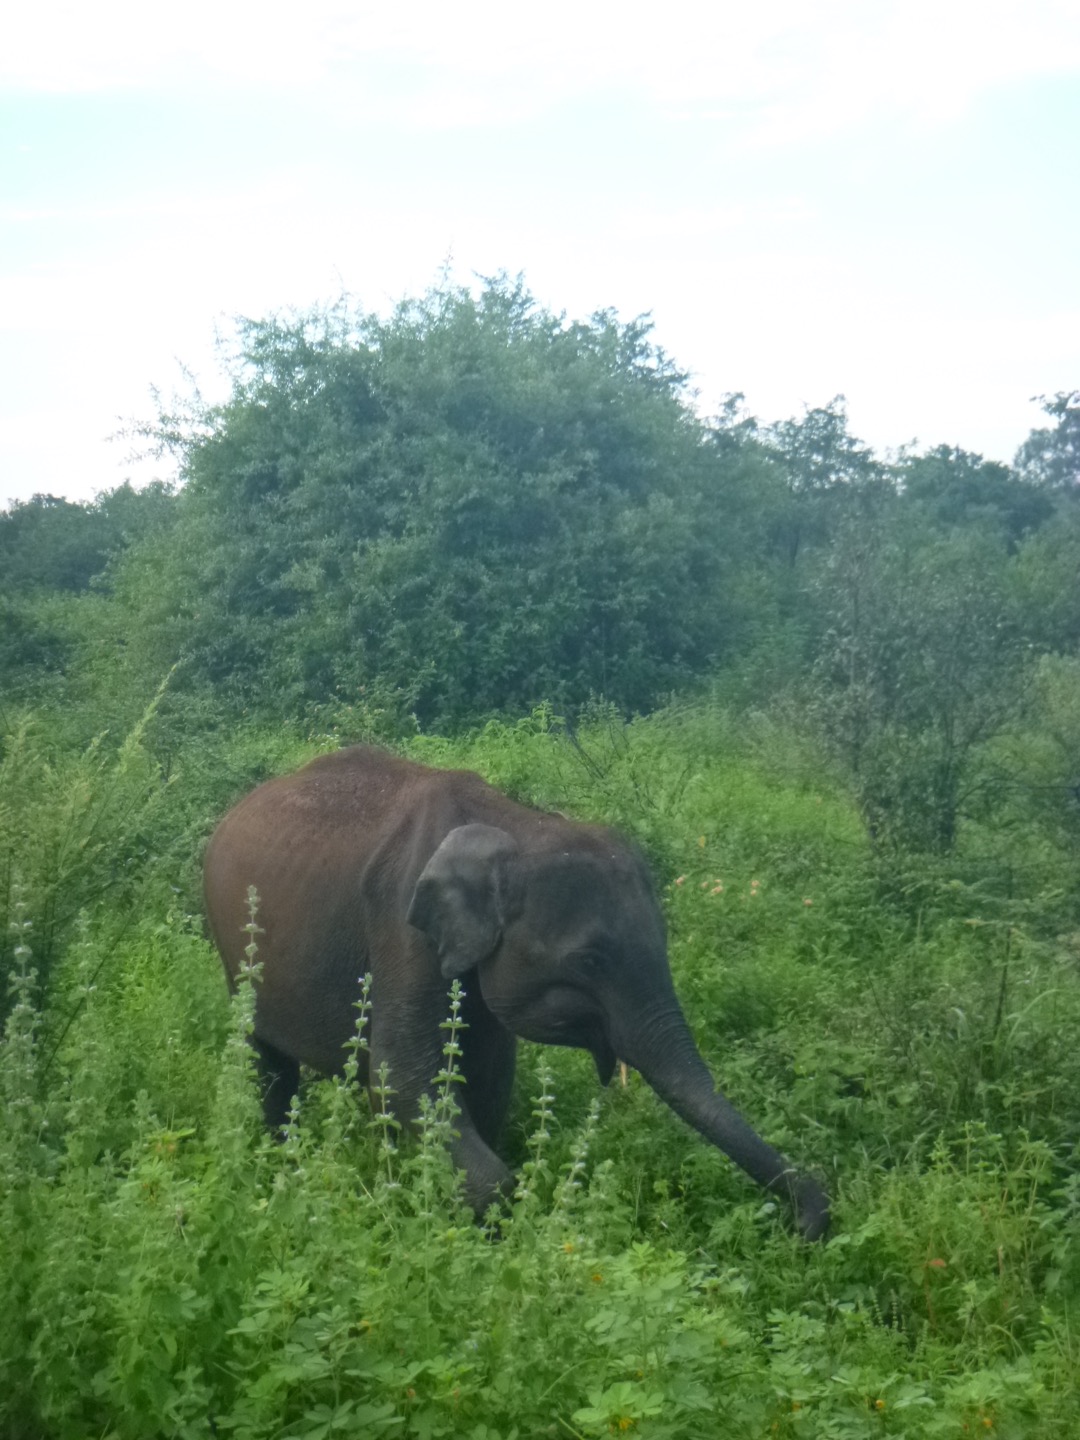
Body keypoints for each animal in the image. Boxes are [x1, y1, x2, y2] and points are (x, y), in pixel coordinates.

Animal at [201, 743, 829, 1238]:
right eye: (589, 960)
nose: (810, 1221)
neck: (518, 822)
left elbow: (484, 1076)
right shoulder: (402, 925)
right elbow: (402, 1075)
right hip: (233, 945)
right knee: (265, 1056)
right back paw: (281, 1160)